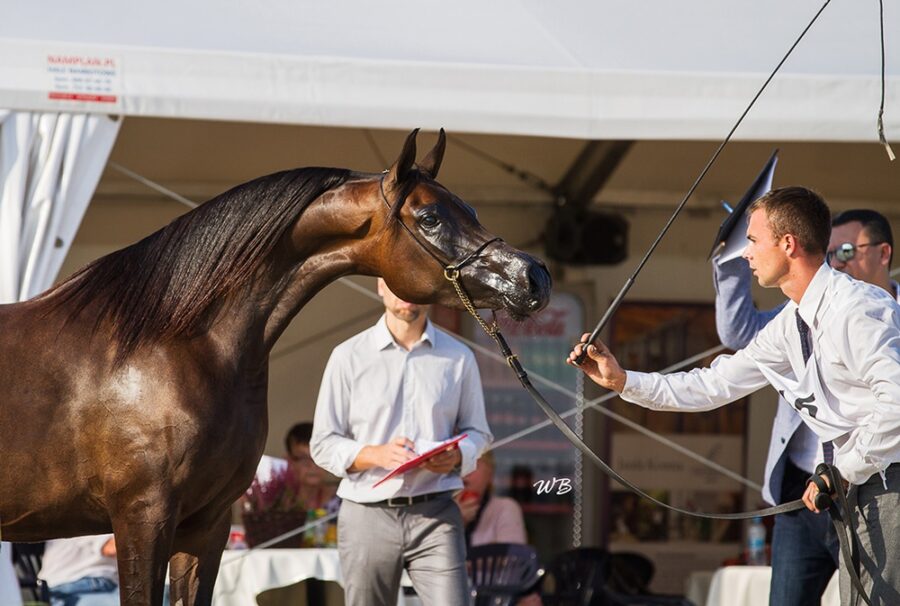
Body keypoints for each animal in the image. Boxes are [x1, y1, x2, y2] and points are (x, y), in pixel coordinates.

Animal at [0, 132, 552, 606]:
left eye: (471, 210)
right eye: (431, 217)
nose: (535, 277)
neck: (166, 342)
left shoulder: (205, 523)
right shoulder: (142, 518)